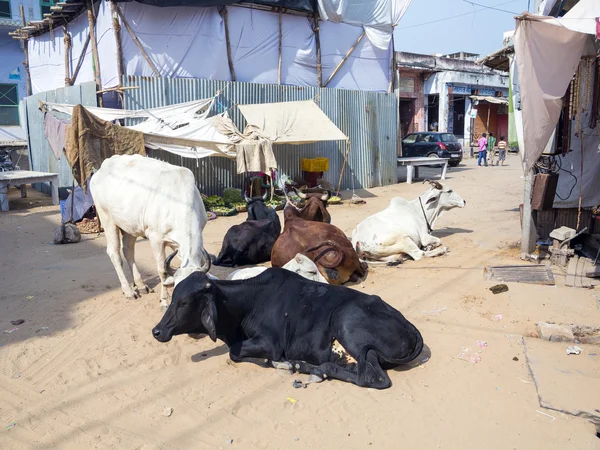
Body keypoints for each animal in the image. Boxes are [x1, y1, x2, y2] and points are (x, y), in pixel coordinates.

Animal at [90, 155, 210, 310]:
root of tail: (103, 167)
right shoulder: (155, 238)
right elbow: (162, 270)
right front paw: (164, 301)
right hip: (107, 219)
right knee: (114, 253)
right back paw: (128, 291)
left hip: (130, 225)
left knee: (128, 250)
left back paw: (141, 285)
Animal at [151, 268, 422, 388]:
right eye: (172, 297)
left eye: (183, 302)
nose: (157, 331)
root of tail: (410, 327)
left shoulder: (271, 343)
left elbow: (235, 353)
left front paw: (276, 363)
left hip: (347, 323)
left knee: (372, 378)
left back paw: (309, 367)